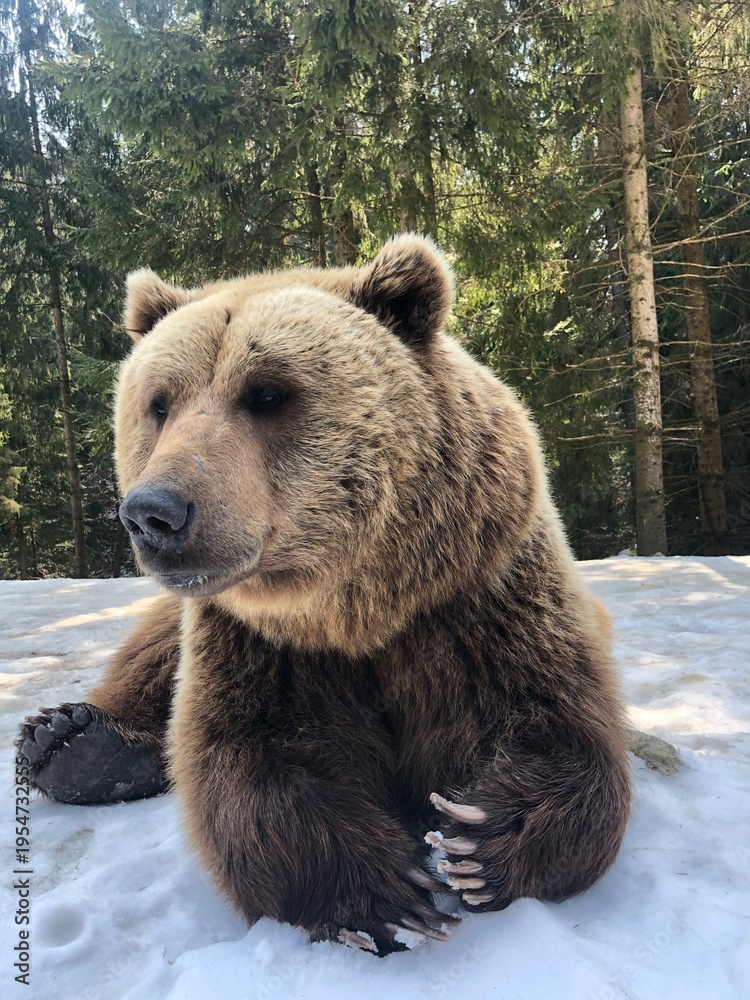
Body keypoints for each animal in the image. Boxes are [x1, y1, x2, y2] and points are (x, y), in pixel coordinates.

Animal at [17, 235, 631, 954]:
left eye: (267, 393)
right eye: (159, 402)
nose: (153, 513)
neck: (359, 608)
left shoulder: (478, 594)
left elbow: (557, 721)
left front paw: (479, 842)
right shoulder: (262, 641)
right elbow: (254, 756)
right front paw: (384, 897)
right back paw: (71, 740)